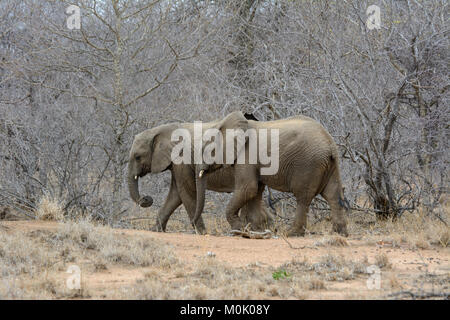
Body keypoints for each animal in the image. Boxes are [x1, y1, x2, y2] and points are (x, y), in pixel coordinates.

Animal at [126, 115, 274, 235]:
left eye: (137, 157)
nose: (146, 198)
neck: (161, 130)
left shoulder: (182, 159)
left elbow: (186, 192)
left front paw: (202, 233)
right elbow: (176, 194)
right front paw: (156, 230)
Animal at [192, 111, 350, 236]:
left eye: (206, 150)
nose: (193, 224)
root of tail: (329, 143)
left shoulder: (247, 155)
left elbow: (248, 188)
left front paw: (239, 229)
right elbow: (255, 191)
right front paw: (257, 230)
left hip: (309, 163)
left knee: (303, 197)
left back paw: (292, 233)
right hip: (331, 163)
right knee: (333, 194)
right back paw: (340, 233)